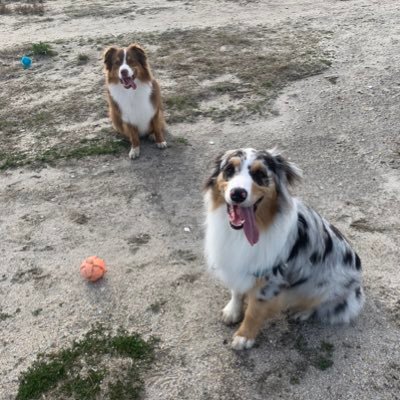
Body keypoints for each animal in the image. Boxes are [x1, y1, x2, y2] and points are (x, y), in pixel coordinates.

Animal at [205, 148, 364, 350]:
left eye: (260, 174)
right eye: (229, 170)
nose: (237, 194)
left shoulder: (270, 279)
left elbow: (254, 311)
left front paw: (243, 337)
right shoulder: (236, 264)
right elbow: (236, 290)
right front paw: (232, 311)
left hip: (324, 284)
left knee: (319, 303)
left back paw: (301, 312)